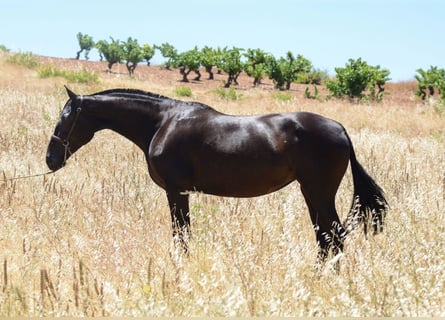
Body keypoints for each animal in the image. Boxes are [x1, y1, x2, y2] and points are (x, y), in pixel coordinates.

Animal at [46, 88, 386, 262]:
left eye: (66, 118)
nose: (50, 159)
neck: (163, 123)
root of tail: (340, 129)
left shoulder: (176, 191)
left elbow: (181, 234)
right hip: (311, 193)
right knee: (325, 238)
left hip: (318, 192)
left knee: (335, 237)